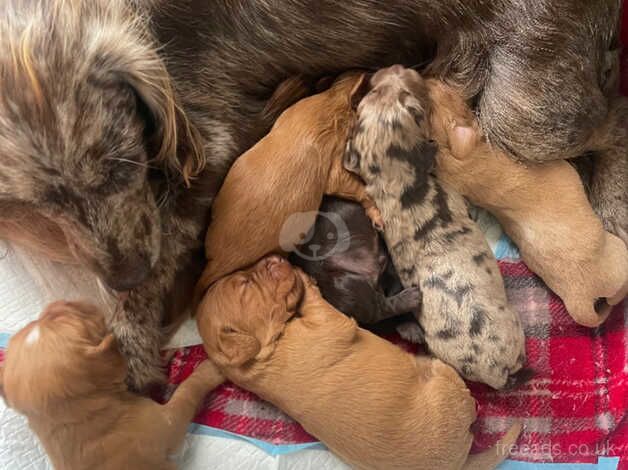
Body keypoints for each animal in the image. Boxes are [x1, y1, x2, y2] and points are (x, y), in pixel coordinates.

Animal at [196, 258, 520, 470]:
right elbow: (318, 304)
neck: (259, 357)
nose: (274, 257)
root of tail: (460, 460)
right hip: (447, 384)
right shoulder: (329, 323)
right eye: (245, 284)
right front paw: (304, 276)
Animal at [346, 65, 528, 390]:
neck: (396, 185)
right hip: (514, 325)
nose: (396, 67)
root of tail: (495, 371)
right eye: (412, 103)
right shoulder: (455, 198)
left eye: (372, 93)